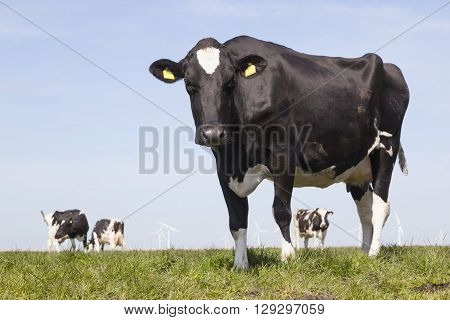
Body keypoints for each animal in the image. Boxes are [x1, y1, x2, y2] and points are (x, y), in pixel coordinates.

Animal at [149, 36, 410, 268]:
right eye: (189, 85)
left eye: (230, 83)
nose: (213, 133)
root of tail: (389, 66)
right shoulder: (224, 167)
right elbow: (237, 219)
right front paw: (240, 264)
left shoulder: (283, 156)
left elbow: (281, 210)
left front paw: (288, 256)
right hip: (358, 168)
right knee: (365, 210)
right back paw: (363, 252)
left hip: (386, 146)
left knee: (381, 206)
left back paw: (374, 253)